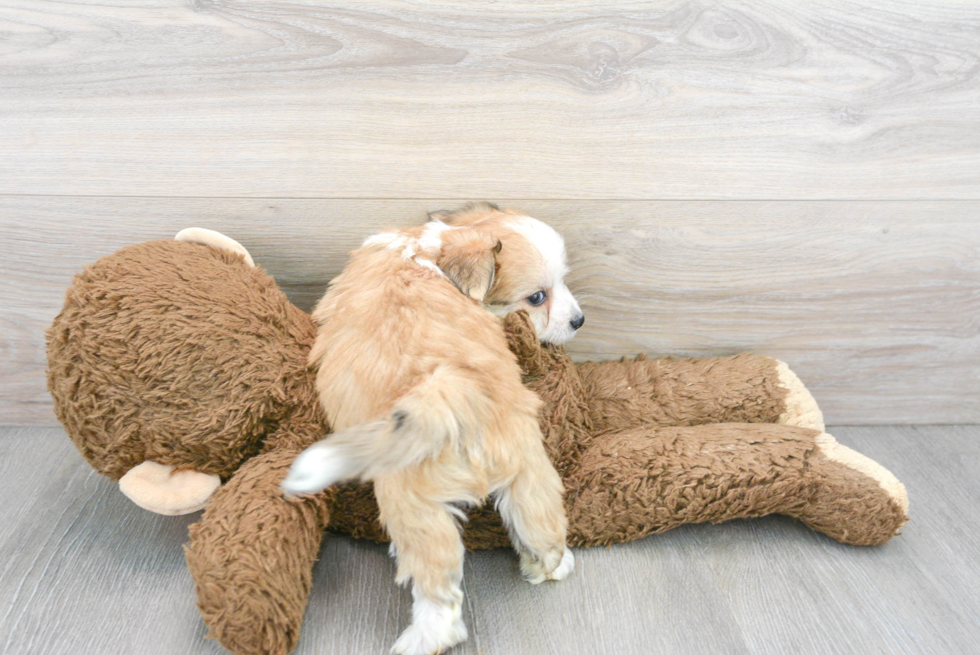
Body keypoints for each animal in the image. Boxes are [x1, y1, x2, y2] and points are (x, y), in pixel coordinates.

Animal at [280, 202, 580, 655]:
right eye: (538, 297)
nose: (579, 320)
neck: (435, 247)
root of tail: (456, 395)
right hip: (528, 464)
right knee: (540, 523)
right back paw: (551, 566)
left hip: (412, 502)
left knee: (437, 582)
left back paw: (425, 636)